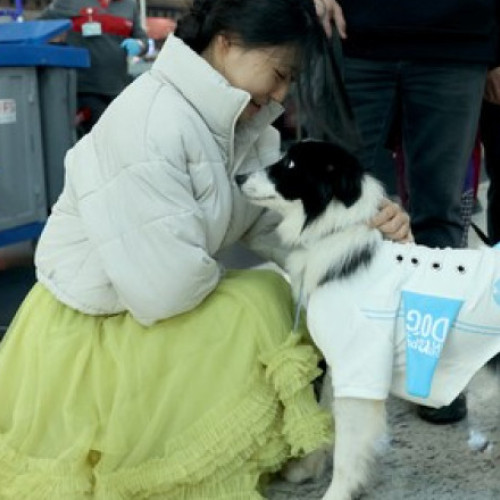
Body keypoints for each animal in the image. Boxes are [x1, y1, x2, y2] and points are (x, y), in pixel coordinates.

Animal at [236, 140, 500, 500]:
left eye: (289, 164)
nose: (238, 176)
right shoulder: (340, 363)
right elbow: (326, 413)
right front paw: (308, 467)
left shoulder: (358, 364)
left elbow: (348, 447)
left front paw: (337, 493)